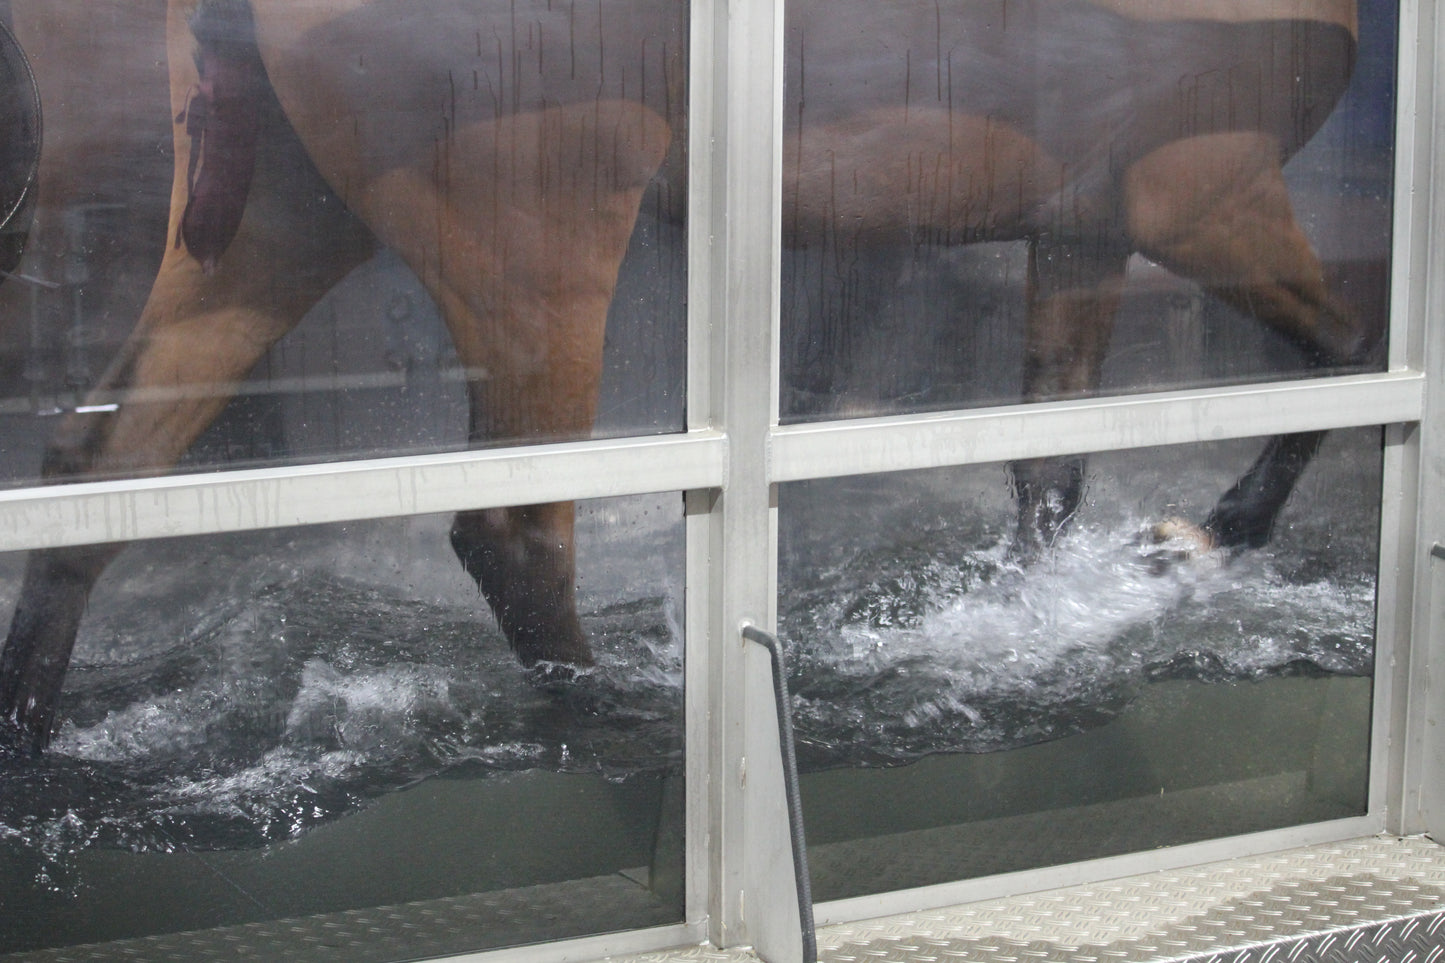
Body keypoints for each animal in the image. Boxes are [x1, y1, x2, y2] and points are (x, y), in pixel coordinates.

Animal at [0, 0, 1364, 751]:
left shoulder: (1084, 226)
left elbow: (1048, 467)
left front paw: (1042, 616)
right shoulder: (1200, 195)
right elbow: (1340, 364)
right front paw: (1200, 541)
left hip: (275, 229)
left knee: (93, 475)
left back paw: (31, 738)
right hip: (539, 245)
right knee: (516, 533)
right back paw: (614, 726)